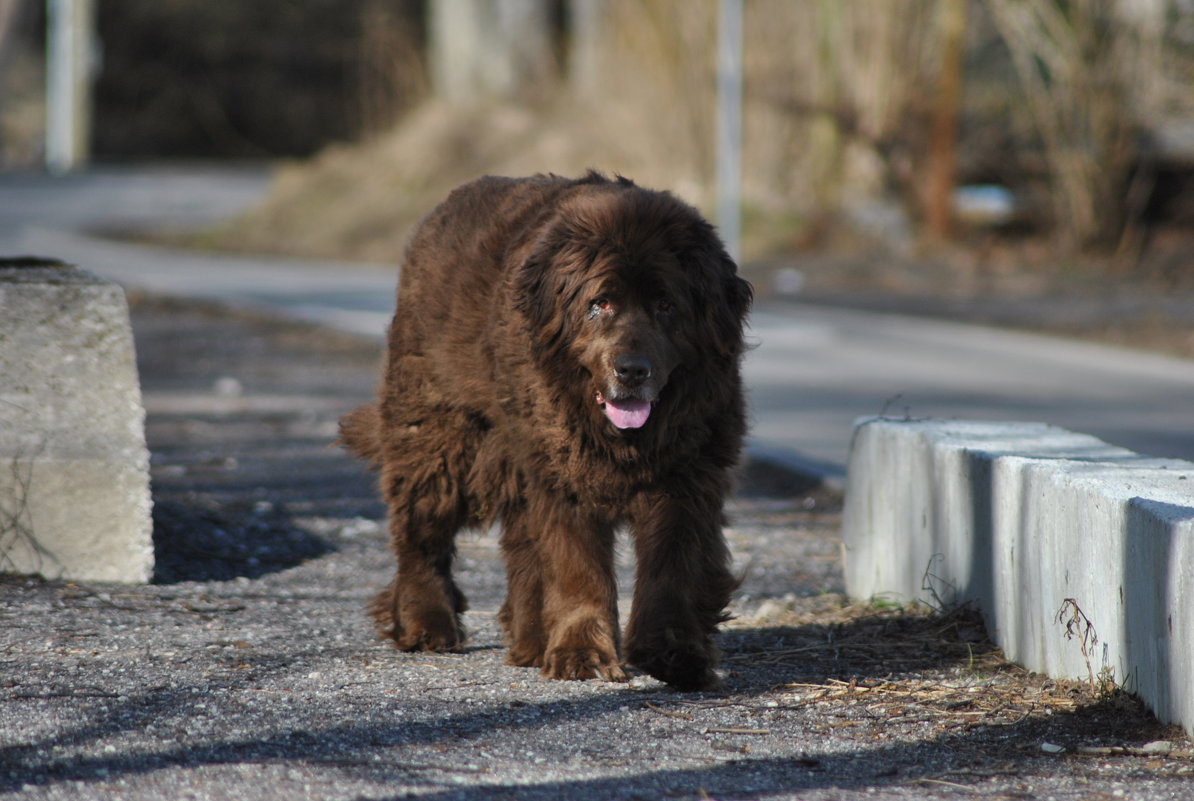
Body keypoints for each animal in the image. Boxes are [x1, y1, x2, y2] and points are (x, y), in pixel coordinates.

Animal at [339, 174, 745, 687]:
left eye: (666, 305)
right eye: (600, 304)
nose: (633, 370)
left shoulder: (686, 476)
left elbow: (673, 567)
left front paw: (671, 653)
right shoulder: (563, 474)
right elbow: (577, 569)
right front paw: (581, 652)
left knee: (519, 545)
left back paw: (528, 638)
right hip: (437, 433)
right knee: (422, 531)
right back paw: (426, 624)